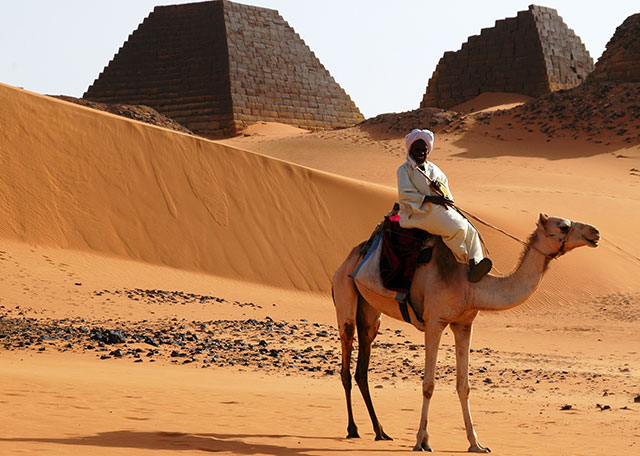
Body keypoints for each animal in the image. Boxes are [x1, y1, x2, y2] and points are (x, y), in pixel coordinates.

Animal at [332, 213, 596, 452]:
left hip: (370, 312)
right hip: (345, 294)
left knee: (362, 368)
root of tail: (349, 258)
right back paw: (352, 429)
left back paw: (380, 431)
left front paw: (476, 444)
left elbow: (464, 386)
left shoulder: (463, 324)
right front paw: (422, 441)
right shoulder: (434, 322)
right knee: (346, 363)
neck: (470, 284)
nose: (594, 233)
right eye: (563, 226)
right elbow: (428, 384)